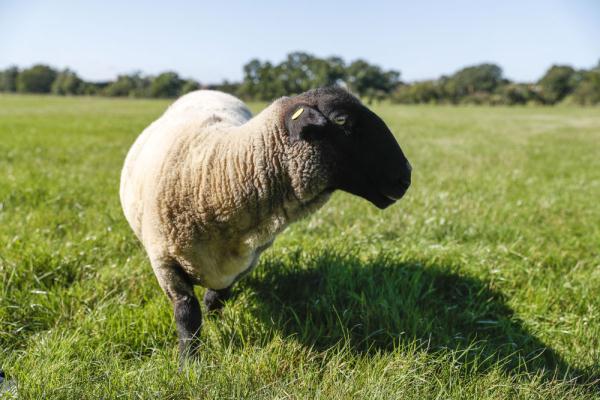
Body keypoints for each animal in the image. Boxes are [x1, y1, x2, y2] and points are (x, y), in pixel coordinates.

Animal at [120, 87, 412, 360]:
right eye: (342, 120)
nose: (406, 176)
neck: (217, 175)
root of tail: (207, 90)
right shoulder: (166, 262)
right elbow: (187, 315)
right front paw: (190, 365)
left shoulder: (247, 259)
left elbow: (218, 296)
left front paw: (215, 320)